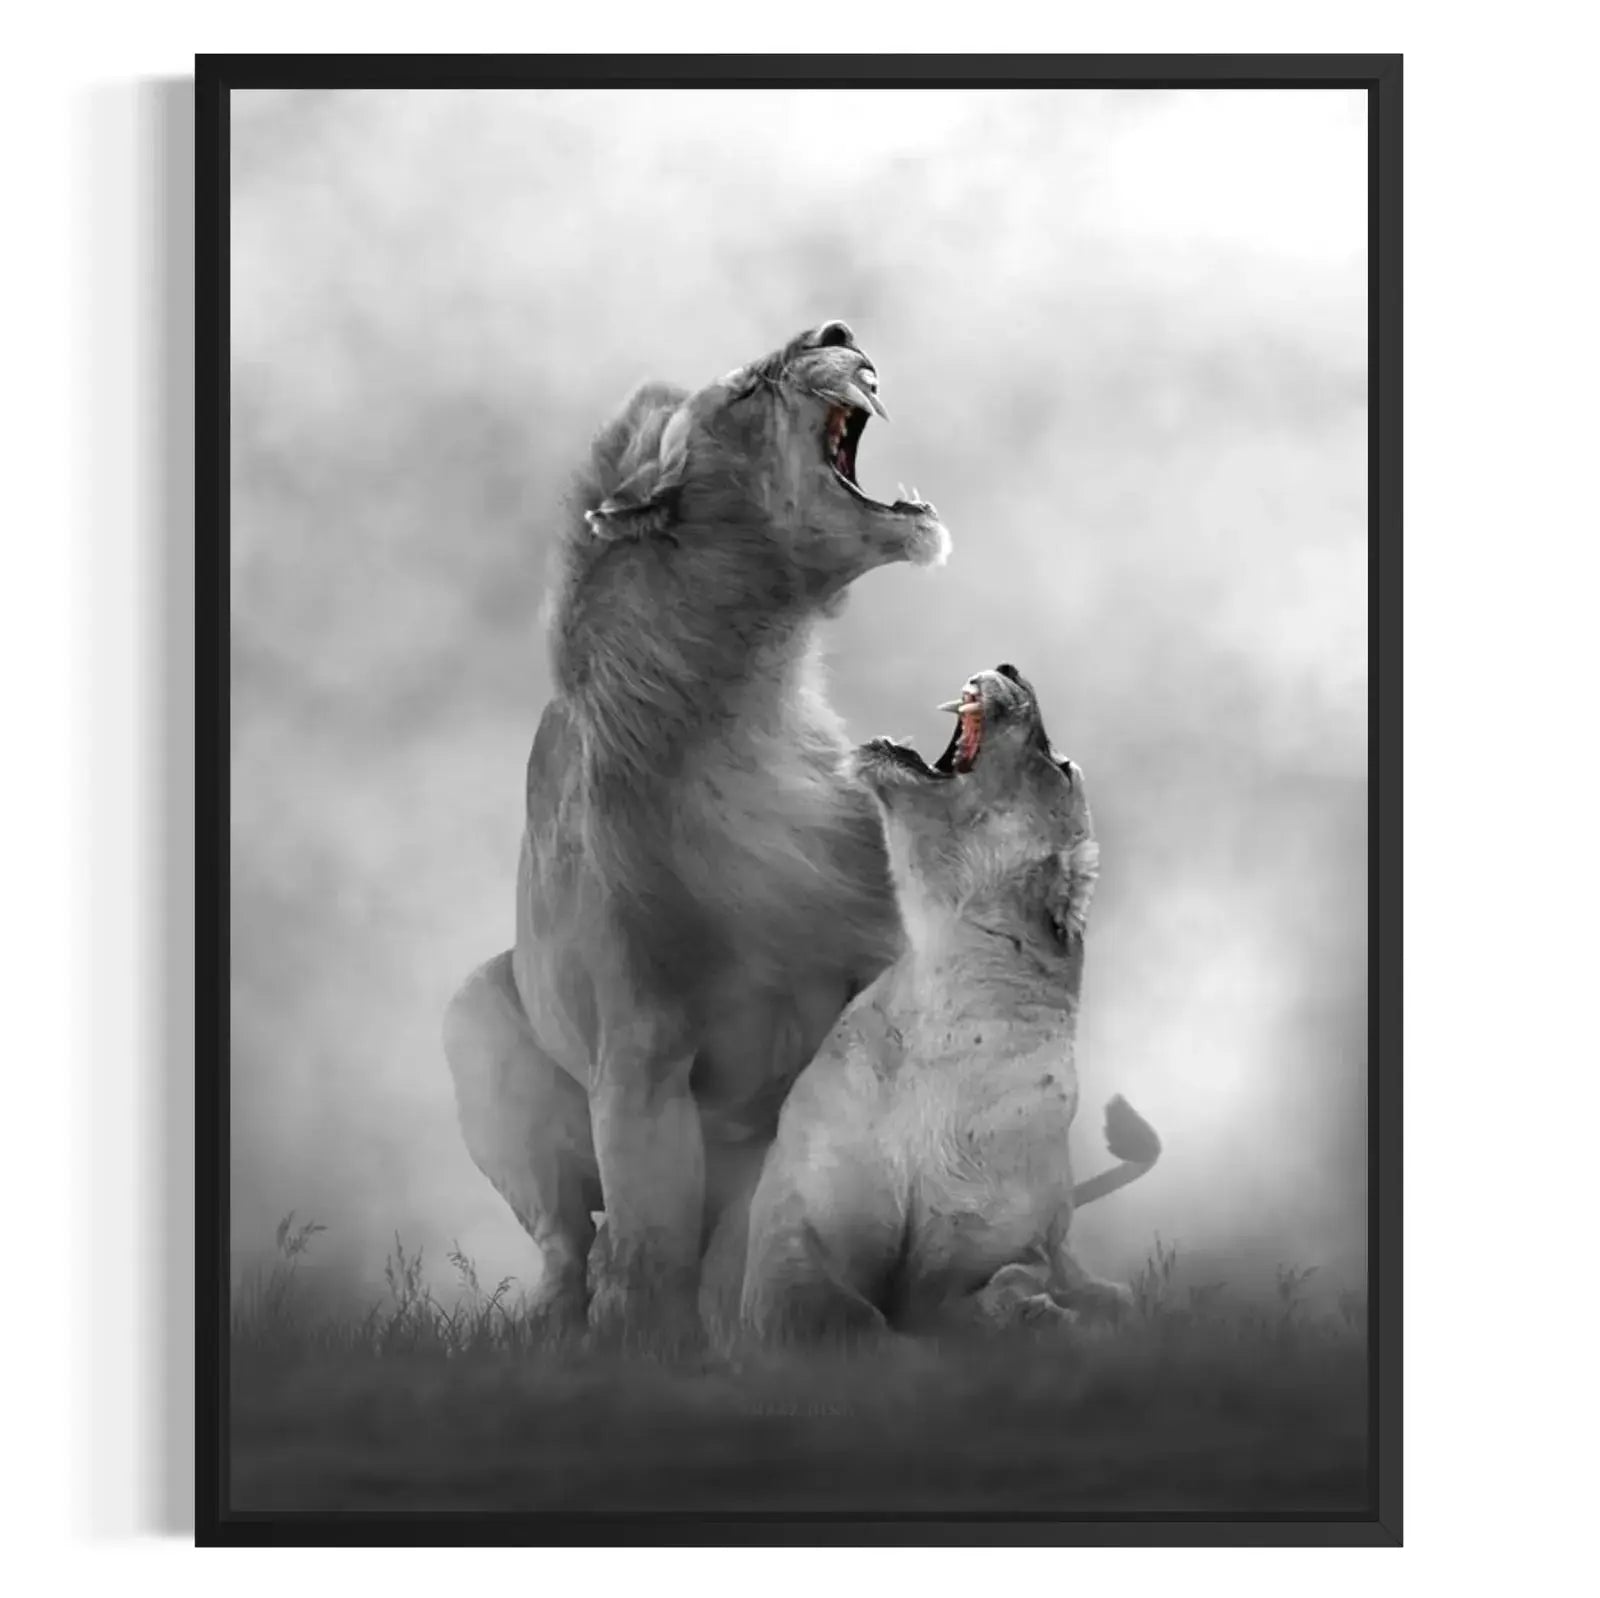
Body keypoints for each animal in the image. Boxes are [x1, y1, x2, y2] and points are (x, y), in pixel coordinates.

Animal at [442, 321, 950, 1345]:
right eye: (752, 388)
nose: (836, 331)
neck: (750, 701)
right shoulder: (639, 1052)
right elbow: (650, 1240)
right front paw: (649, 1342)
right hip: (471, 1023)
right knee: (569, 1244)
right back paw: (556, 1327)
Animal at [739, 664, 1161, 1342]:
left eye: (1060, 765)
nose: (1012, 668)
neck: (944, 1010)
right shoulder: (797, 1226)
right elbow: (834, 1315)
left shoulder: (990, 1250)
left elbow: (988, 1294)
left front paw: (1035, 1314)